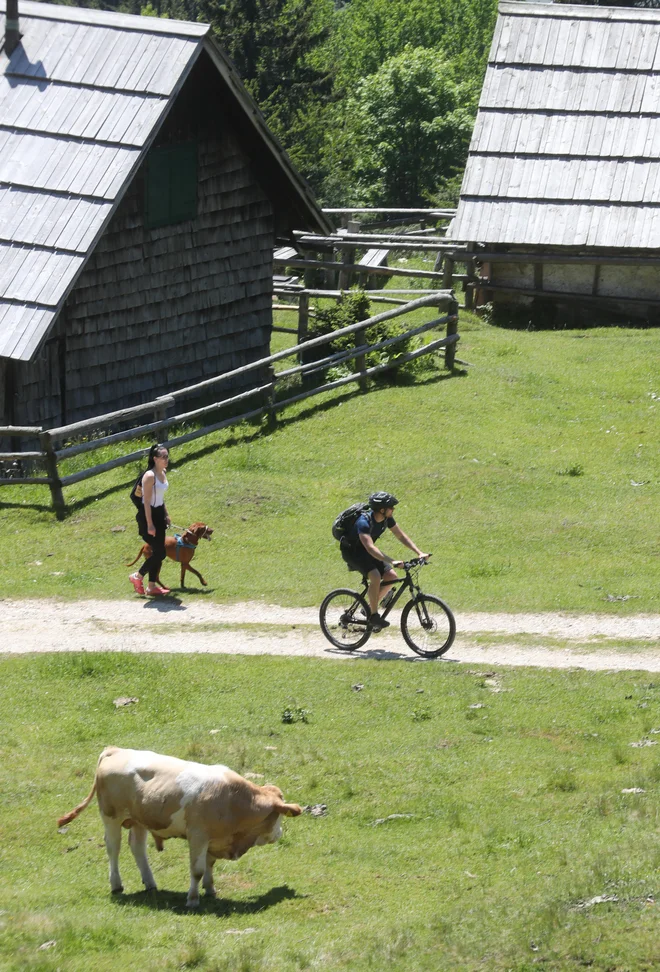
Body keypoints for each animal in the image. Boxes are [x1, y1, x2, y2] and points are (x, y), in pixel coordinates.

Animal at [59, 748, 302, 908]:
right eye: (279, 817)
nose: (279, 834)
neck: (234, 800)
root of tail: (115, 750)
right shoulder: (198, 836)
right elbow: (197, 870)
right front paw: (193, 900)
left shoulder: (212, 839)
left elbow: (209, 864)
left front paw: (210, 889)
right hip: (111, 816)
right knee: (114, 848)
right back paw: (116, 885)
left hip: (139, 820)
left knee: (137, 847)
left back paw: (150, 883)